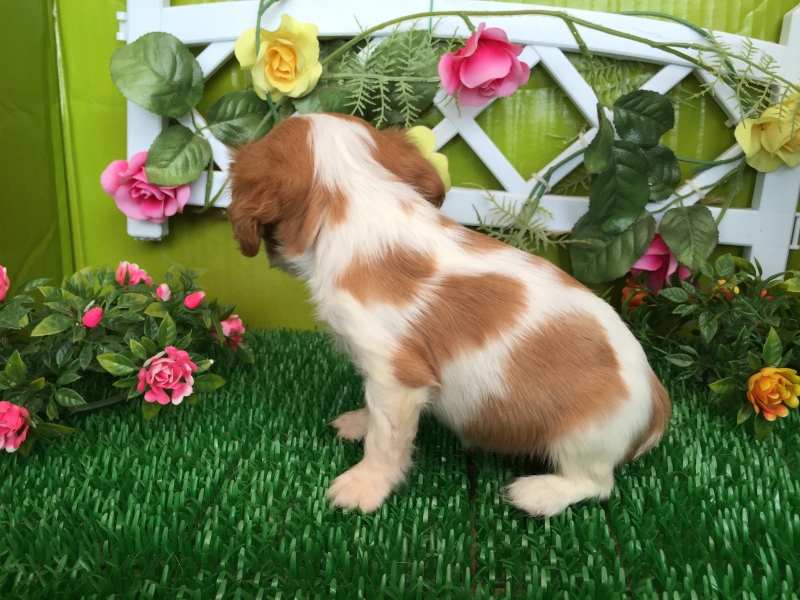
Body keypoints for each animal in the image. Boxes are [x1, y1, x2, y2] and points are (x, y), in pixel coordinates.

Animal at [227, 113, 671, 517]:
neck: (358, 194)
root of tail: (657, 399)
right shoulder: (381, 379)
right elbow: (374, 413)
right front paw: (359, 422)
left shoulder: (396, 377)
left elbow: (385, 439)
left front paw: (365, 485)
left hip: (583, 436)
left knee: (596, 483)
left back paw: (538, 494)